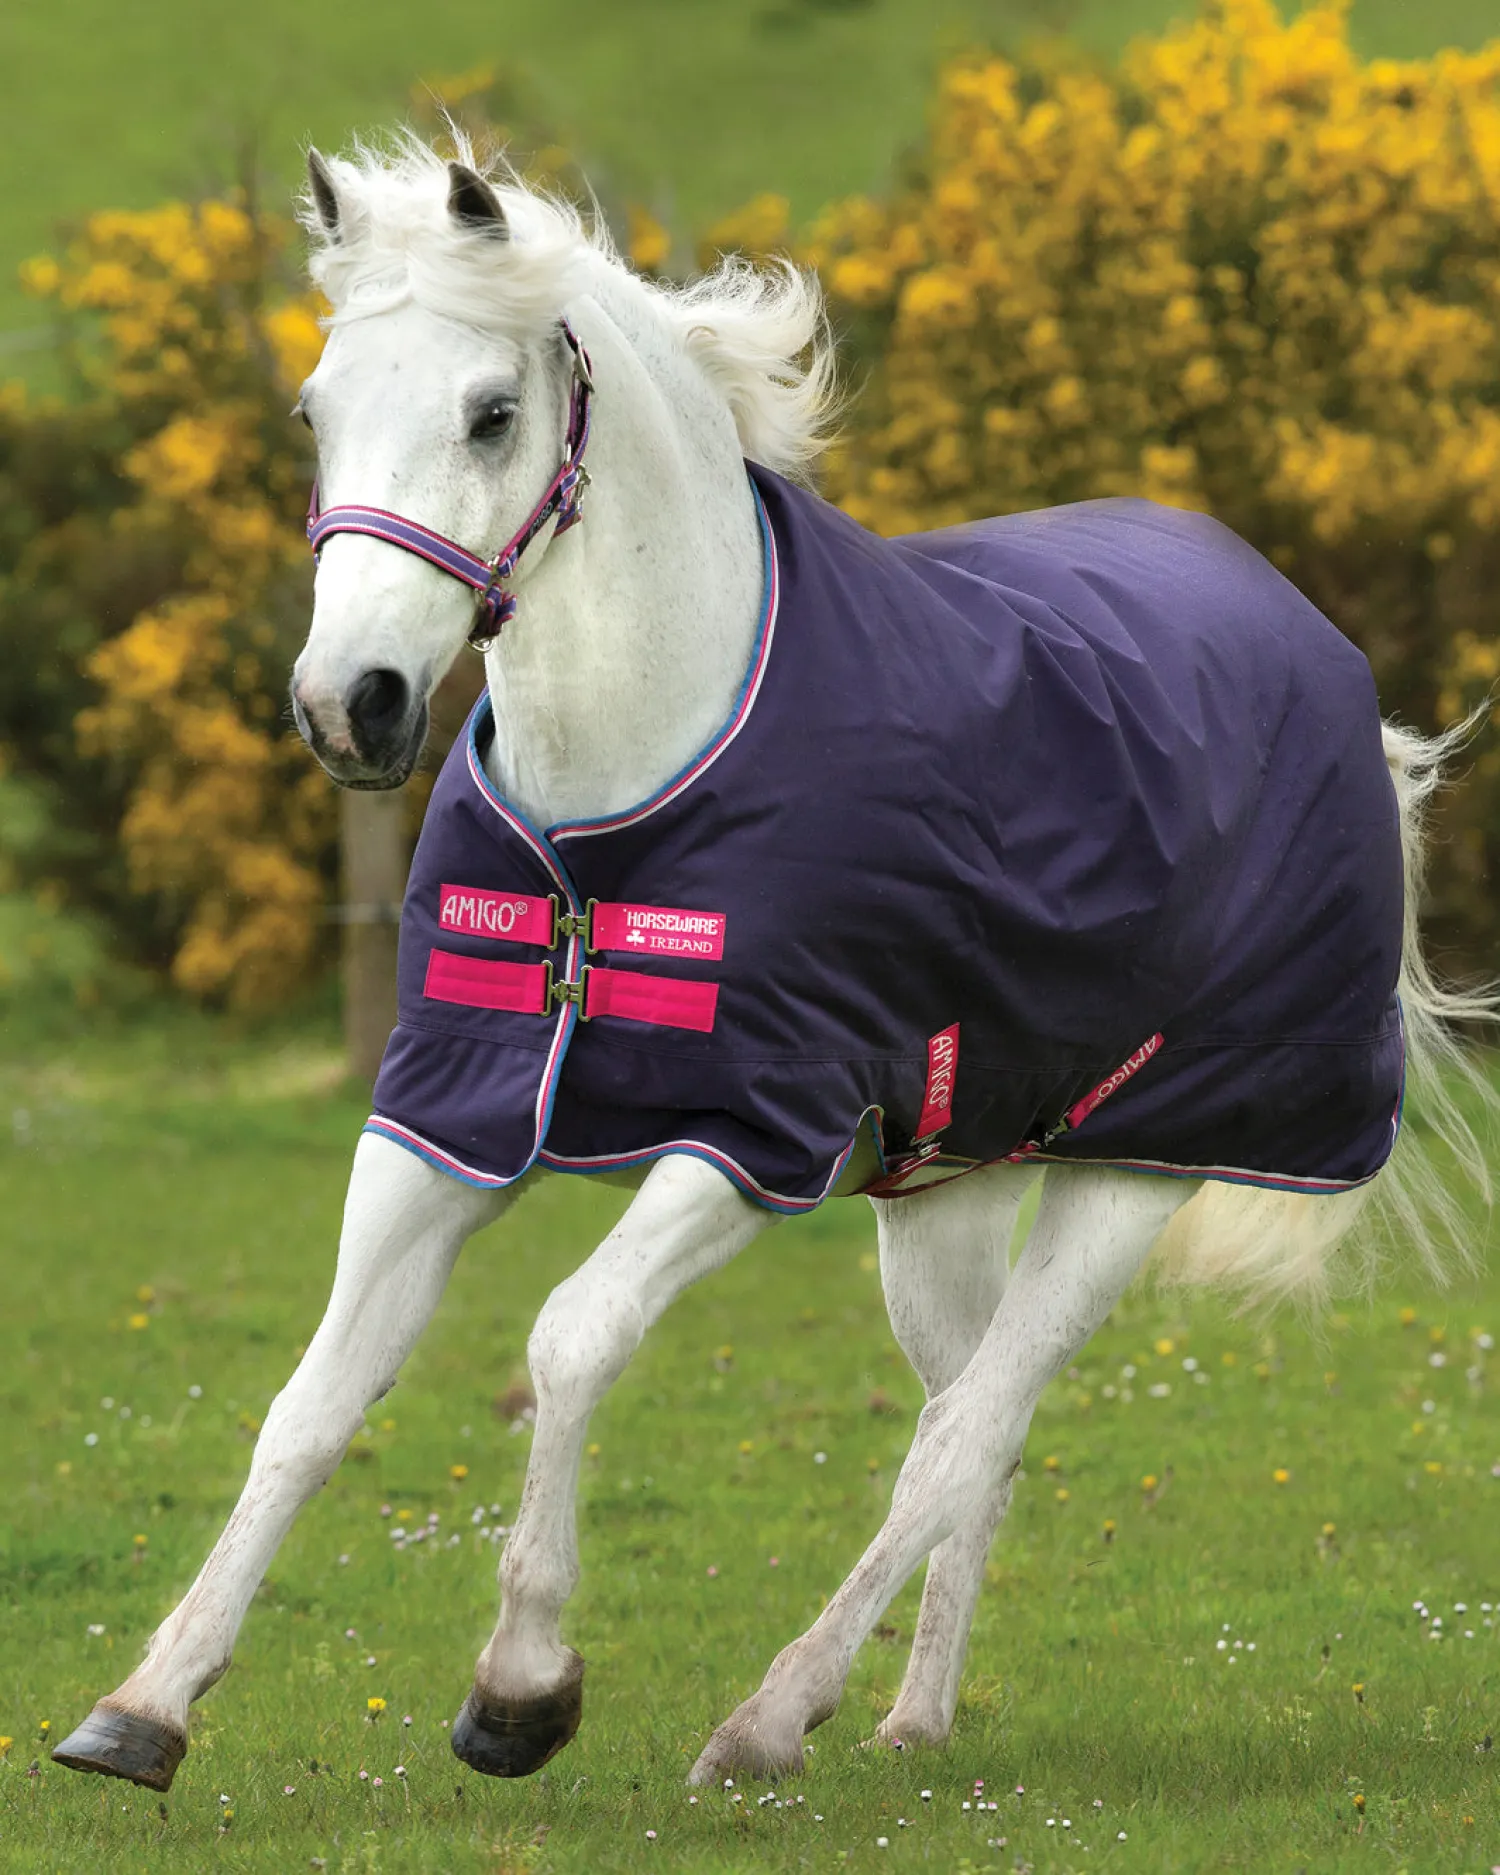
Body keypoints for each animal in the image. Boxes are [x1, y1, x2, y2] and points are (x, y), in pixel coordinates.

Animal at [53, 135, 1495, 1794]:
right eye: (316, 410)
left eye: (490, 413)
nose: (349, 706)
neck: (618, 810)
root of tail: (1330, 669)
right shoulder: (445, 1114)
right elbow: (313, 1396)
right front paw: (145, 1704)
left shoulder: (750, 1134)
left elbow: (569, 1337)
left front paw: (521, 1687)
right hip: (944, 1193)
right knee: (970, 1426)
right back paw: (908, 1716)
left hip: (1139, 1173)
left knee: (968, 1426)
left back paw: (769, 1714)